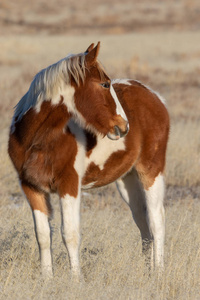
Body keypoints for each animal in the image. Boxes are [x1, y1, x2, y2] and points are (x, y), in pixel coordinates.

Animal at [8, 42, 170, 278]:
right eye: (104, 84)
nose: (124, 126)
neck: (37, 140)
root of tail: (155, 96)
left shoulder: (69, 185)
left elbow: (70, 234)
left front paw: (76, 279)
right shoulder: (31, 187)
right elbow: (43, 235)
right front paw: (46, 279)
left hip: (151, 172)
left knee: (157, 220)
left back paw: (158, 272)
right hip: (127, 180)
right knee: (143, 220)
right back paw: (147, 271)